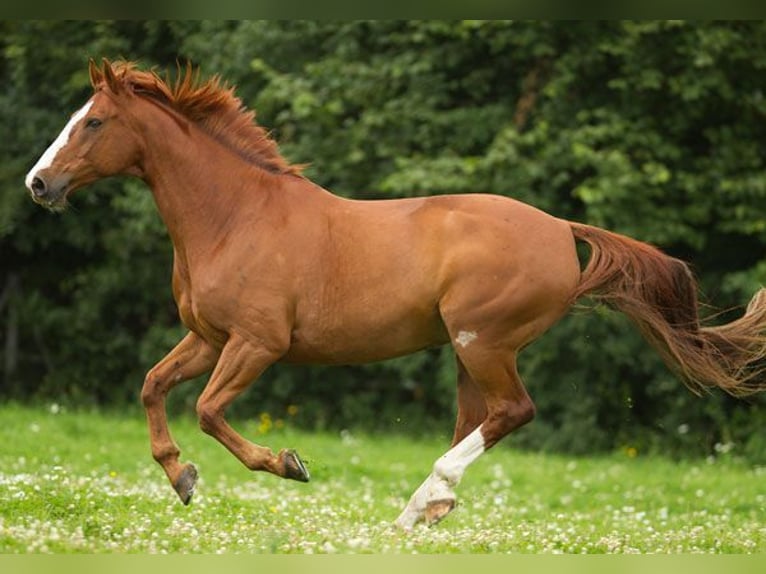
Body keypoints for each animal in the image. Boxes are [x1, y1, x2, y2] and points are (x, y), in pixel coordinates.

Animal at [24, 59, 766, 529]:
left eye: (93, 123)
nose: (38, 184)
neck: (234, 216)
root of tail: (562, 229)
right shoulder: (209, 337)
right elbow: (153, 385)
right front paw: (180, 476)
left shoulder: (258, 343)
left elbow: (208, 410)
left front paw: (287, 464)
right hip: (469, 351)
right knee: (479, 420)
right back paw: (428, 509)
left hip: (483, 340)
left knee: (512, 413)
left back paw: (417, 506)